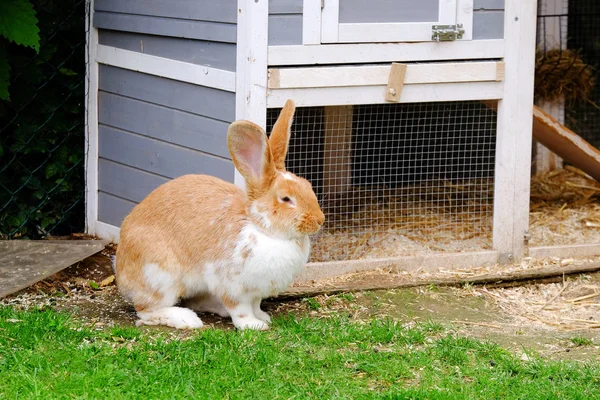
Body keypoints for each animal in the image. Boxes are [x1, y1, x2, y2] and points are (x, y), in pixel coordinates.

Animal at [114, 100, 326, 332]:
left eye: (308, 186)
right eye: (286, 199)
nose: (319, 220)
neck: (261, 227)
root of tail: (121, 271)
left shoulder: (256, 292)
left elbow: (256, 305)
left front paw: (263, 317)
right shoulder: (233, 287)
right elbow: (241, 309)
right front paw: (253, 325)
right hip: (160, 278)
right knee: (146, 311)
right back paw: (186, 319)